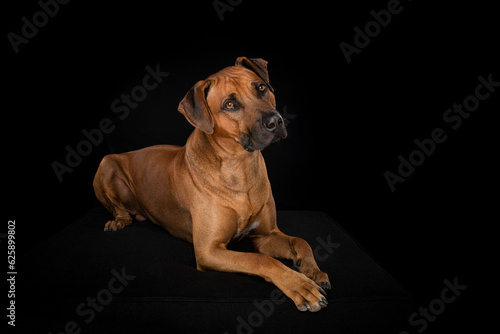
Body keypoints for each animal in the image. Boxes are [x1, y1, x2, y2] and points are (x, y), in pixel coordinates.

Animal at [93, 56, 332, 310]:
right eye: (229, 105)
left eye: (261, 88)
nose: (275, 121)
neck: (240, 166)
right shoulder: (209, 251)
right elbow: (262, 260)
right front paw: (300, 286)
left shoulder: (265, 236)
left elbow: (300, 241)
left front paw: (312, 270)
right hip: (106, 162)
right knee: (120, 209)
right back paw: (118, 221)